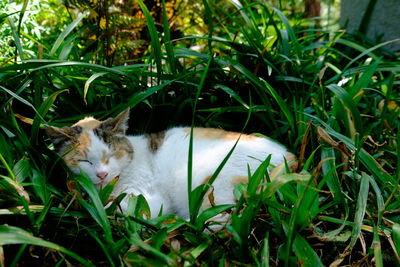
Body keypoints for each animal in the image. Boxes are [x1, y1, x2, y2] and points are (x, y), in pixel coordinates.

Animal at [45, 109, 296, 222]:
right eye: (84, 161)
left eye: (112, 154)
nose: (102, 174)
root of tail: (289, 156)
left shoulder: (144, 196)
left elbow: (119, 207)